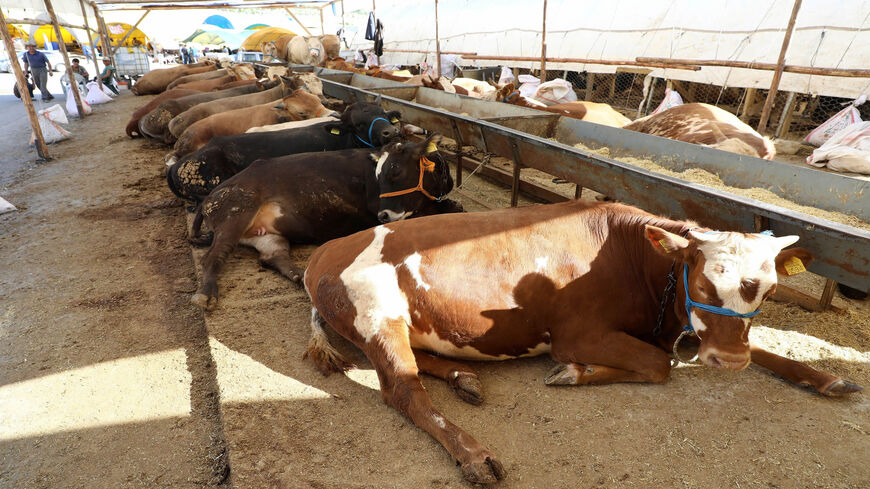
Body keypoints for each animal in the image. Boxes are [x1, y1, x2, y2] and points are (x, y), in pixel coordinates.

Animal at [189, 134, 464, 308]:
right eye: (382, 173)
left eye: (395, 170)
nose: (383, 216)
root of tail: (210, 197)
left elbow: (455, 207)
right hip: (236, 213)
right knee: (212, 257)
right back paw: (206, 295)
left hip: (267, 234)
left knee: (271, 257)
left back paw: (300, 276)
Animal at [304, 199, 860, 484]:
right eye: (703, 283)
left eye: (769, 288)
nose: (729, 361)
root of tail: (326, 249)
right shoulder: (576, 335)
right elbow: (657, 365)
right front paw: (576, 373)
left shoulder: (690, 332)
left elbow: (764, 347)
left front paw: (827, 377)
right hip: (379, 317)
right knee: (404, 390)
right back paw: (475, 454)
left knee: (422, 363)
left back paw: (465, 377)